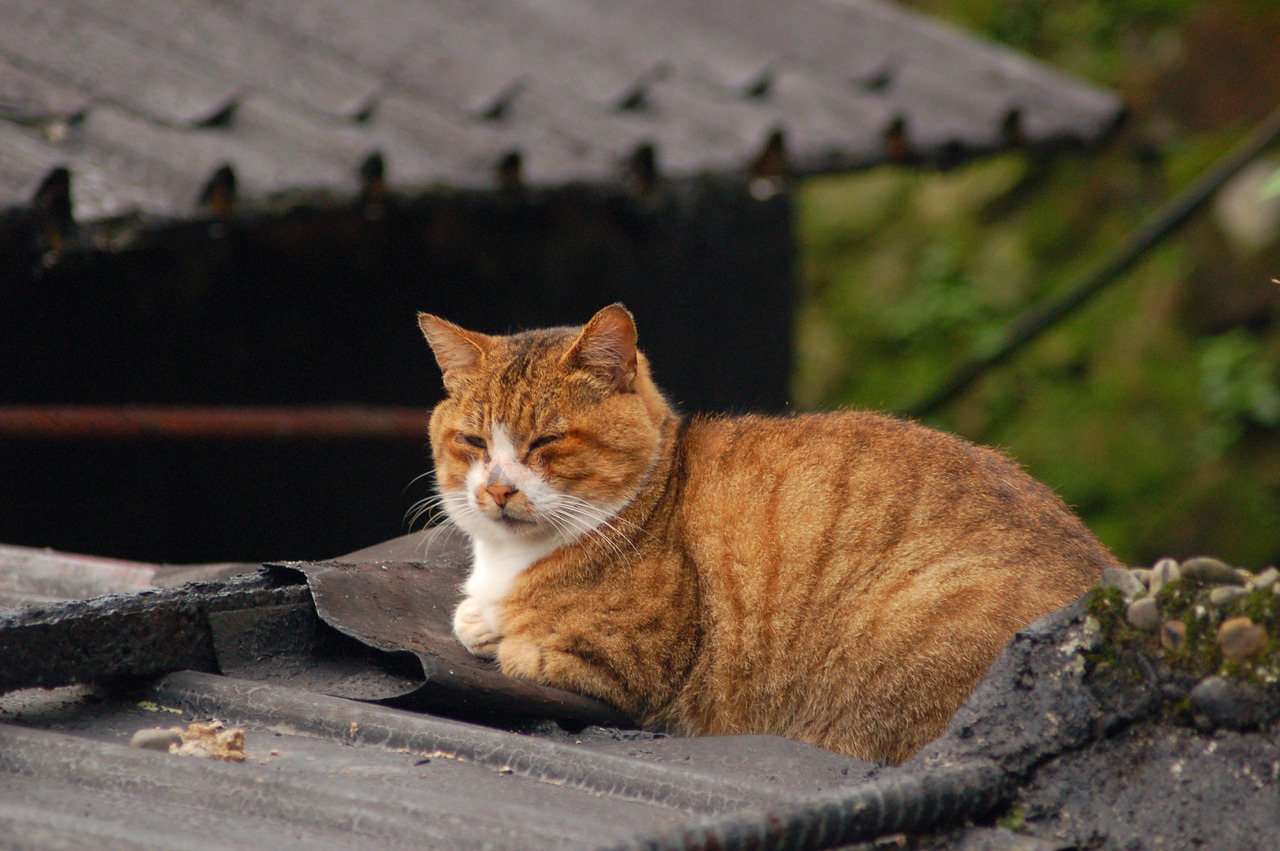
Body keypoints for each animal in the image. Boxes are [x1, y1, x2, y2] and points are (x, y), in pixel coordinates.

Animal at [414, 302, 1116, 757]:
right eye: (473, 442)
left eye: (547, 442)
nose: (497, 488)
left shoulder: (637, 660)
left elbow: (525, 646)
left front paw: (498, 630)